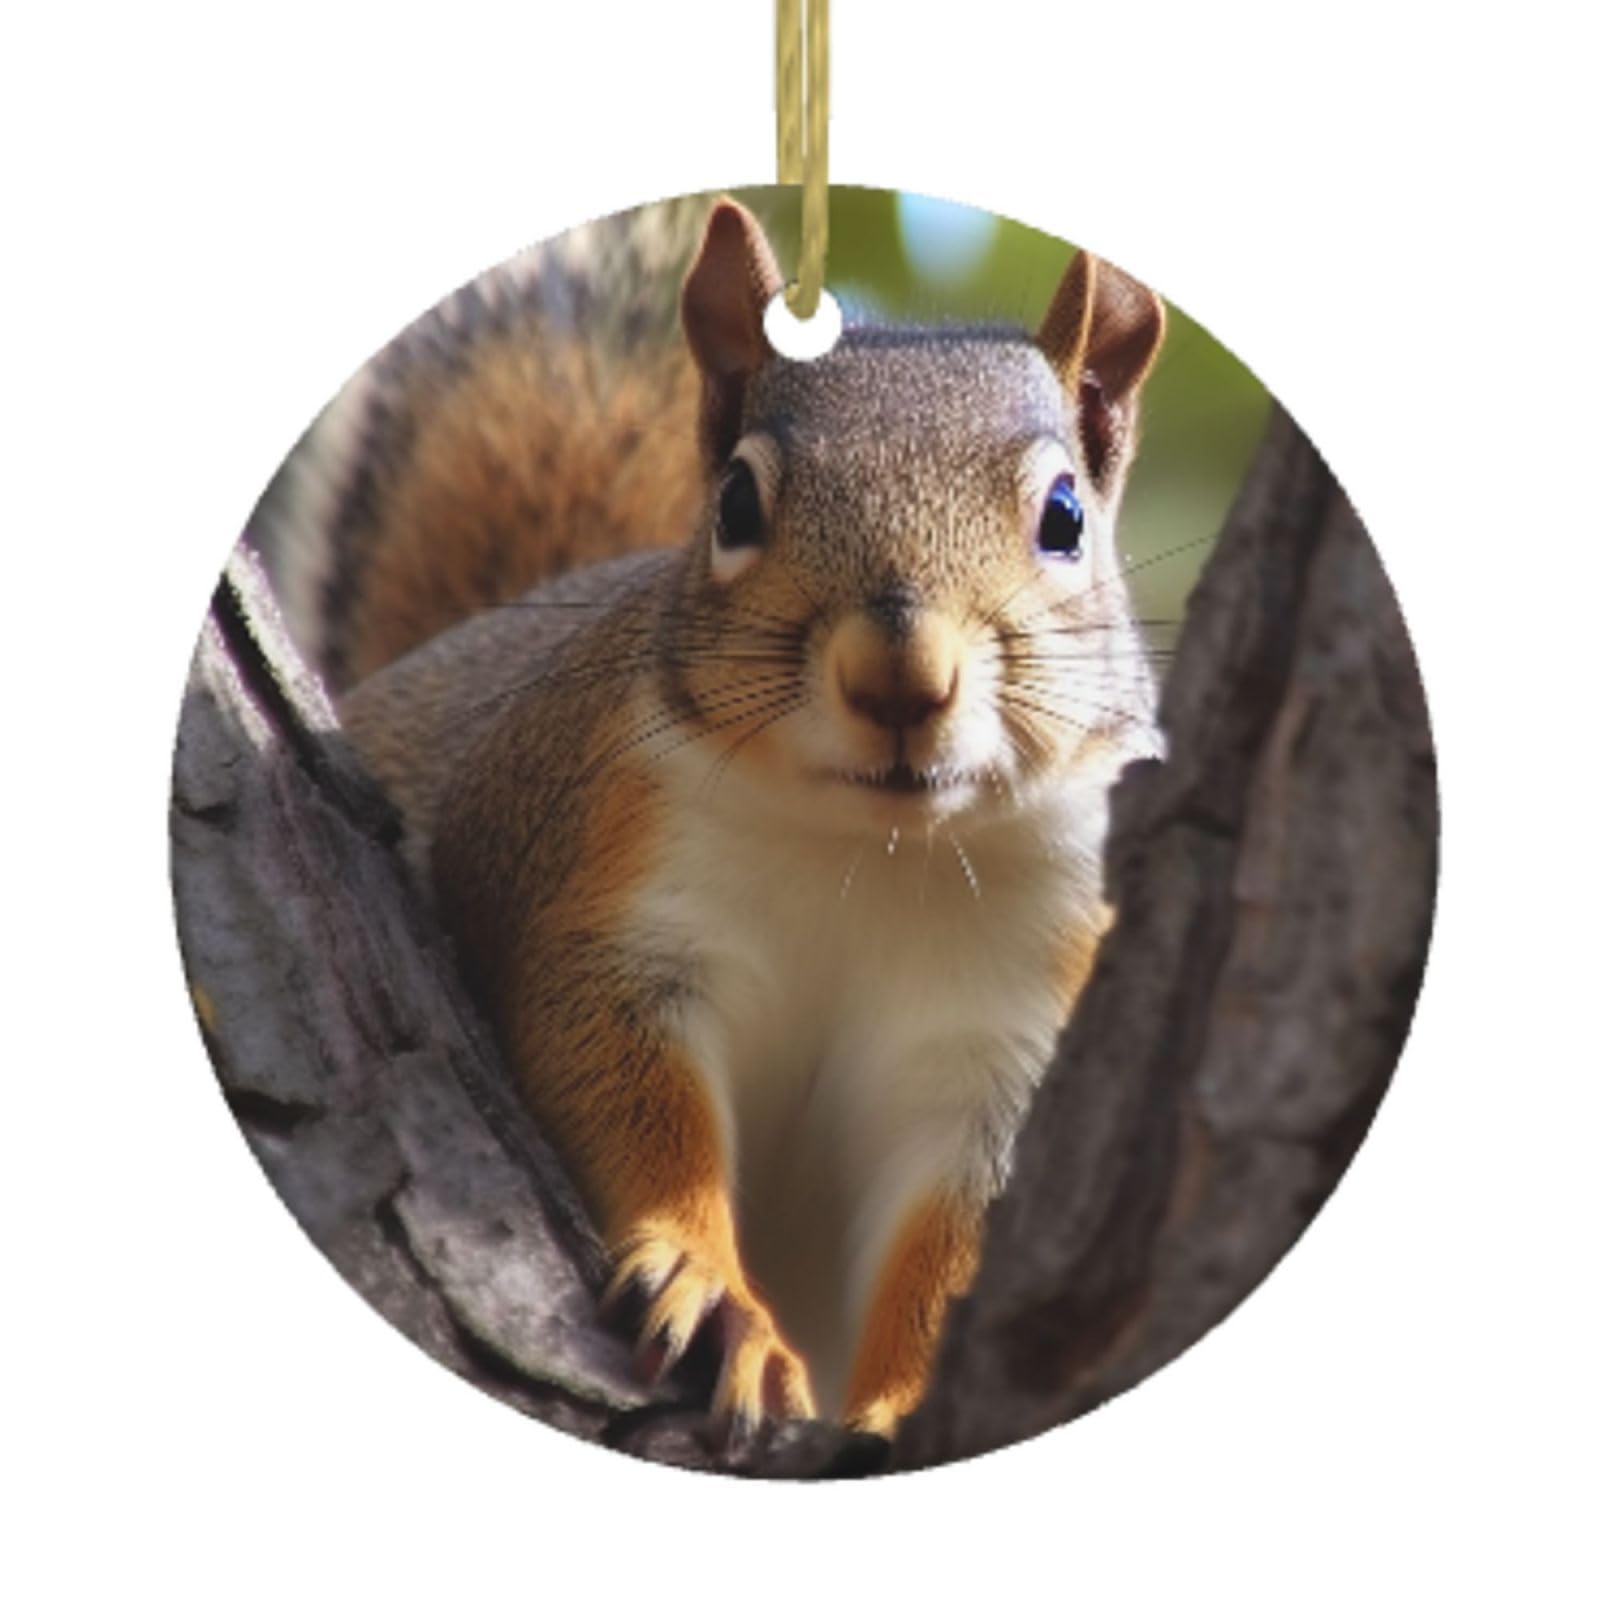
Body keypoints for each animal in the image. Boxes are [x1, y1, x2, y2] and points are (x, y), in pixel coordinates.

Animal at [259, 192, 1166, 1438]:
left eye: (1065, 516)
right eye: (735, 500)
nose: (898, 675)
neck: (874, 849)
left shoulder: (1014, 1030)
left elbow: (959, 1239)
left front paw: (898, 1405)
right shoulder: (606, 894)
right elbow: (627, 1093)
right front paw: (714, 1292)